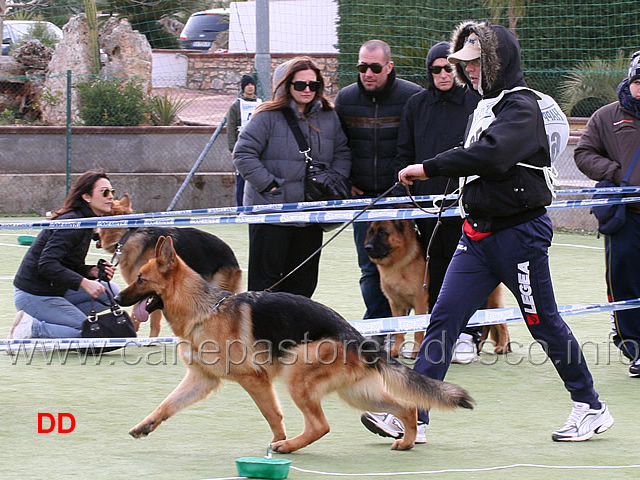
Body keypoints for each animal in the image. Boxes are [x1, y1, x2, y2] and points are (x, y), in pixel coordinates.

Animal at [116, 238, 476, 452]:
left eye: (141, 279)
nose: (116, 300)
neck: (205, 309)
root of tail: (358, 338)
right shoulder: (201, 379)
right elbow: (167, 405)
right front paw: (144, 426)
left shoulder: (254, 380)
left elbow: (272, 415)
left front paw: (277, 442)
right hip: (357, 395)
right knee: (406, 407)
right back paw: (406, 442)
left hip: (296, 375)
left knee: (321, 425)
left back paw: (289, 447)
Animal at [364, 219, 510, 358]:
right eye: (371, 232)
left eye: (383, 233)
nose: (367, 247)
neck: (400, 262)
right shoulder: (396, 305)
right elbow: (399, 332)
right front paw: (395, 351)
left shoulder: (420, 303)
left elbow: (418, 332)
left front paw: (416, 352)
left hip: (490, 303)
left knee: (501, 324)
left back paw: (502, 347)